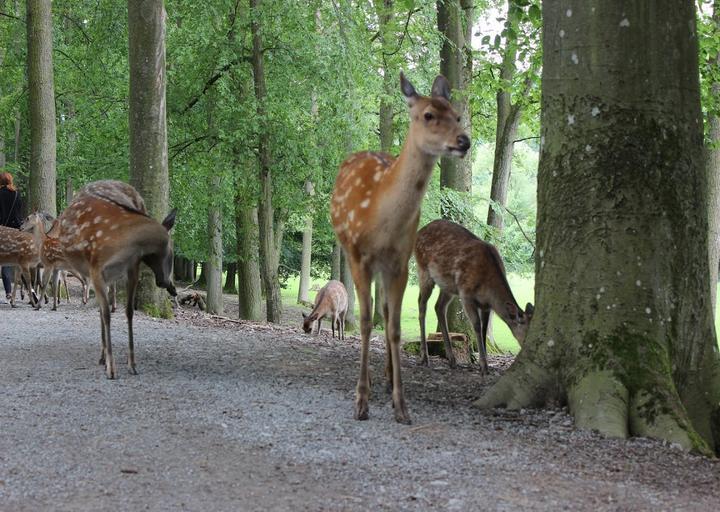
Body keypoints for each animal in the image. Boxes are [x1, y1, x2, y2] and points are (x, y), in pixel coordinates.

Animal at [53, 179, 176, 376]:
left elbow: (129, 312)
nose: (165, 282)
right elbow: (106, 315)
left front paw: (132, 363)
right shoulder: (96, 270)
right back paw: (102, 357)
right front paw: (112, 368)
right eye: (171, 252)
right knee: (101, 312)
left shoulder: (132, 268)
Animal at [330, 72, 470, 424]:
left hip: (387, 266)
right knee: (373, 313)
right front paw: (361, 401)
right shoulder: (358, 255)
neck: (381, 217)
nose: (464, 141)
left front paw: (401, 404)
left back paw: (387, 376)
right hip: (356, 254)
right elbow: (365, 322)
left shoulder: (401, 261)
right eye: (428, 115)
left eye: (457, 115)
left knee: (385, 310)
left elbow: (393, 326)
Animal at [416, 218, 536, 374]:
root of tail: (419, 232)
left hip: (448, 285)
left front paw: (484, 363)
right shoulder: (466, 294)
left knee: (439, 307)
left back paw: (452, 359)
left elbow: (485, 329)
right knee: (422, 304)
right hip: (424, 270)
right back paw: (425, 357)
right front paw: (484, 366)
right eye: (527, 334)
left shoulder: (486, 306)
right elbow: (477, 326)